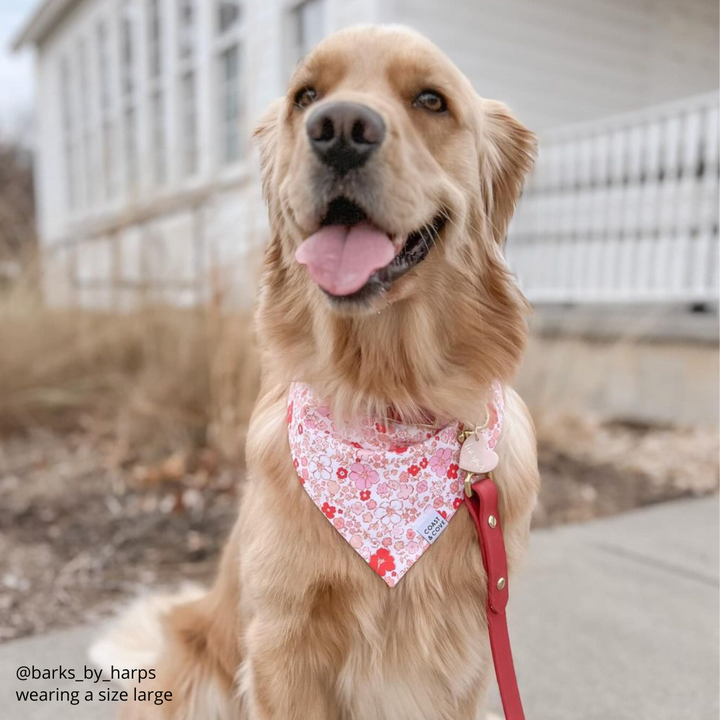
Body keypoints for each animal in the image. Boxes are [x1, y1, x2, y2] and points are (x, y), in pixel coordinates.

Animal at [90, 25, 540, 716]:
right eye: (305, 96)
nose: (340, 129)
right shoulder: (282, 644)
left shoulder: (465, 650)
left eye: (431, 100)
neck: (383, 400)